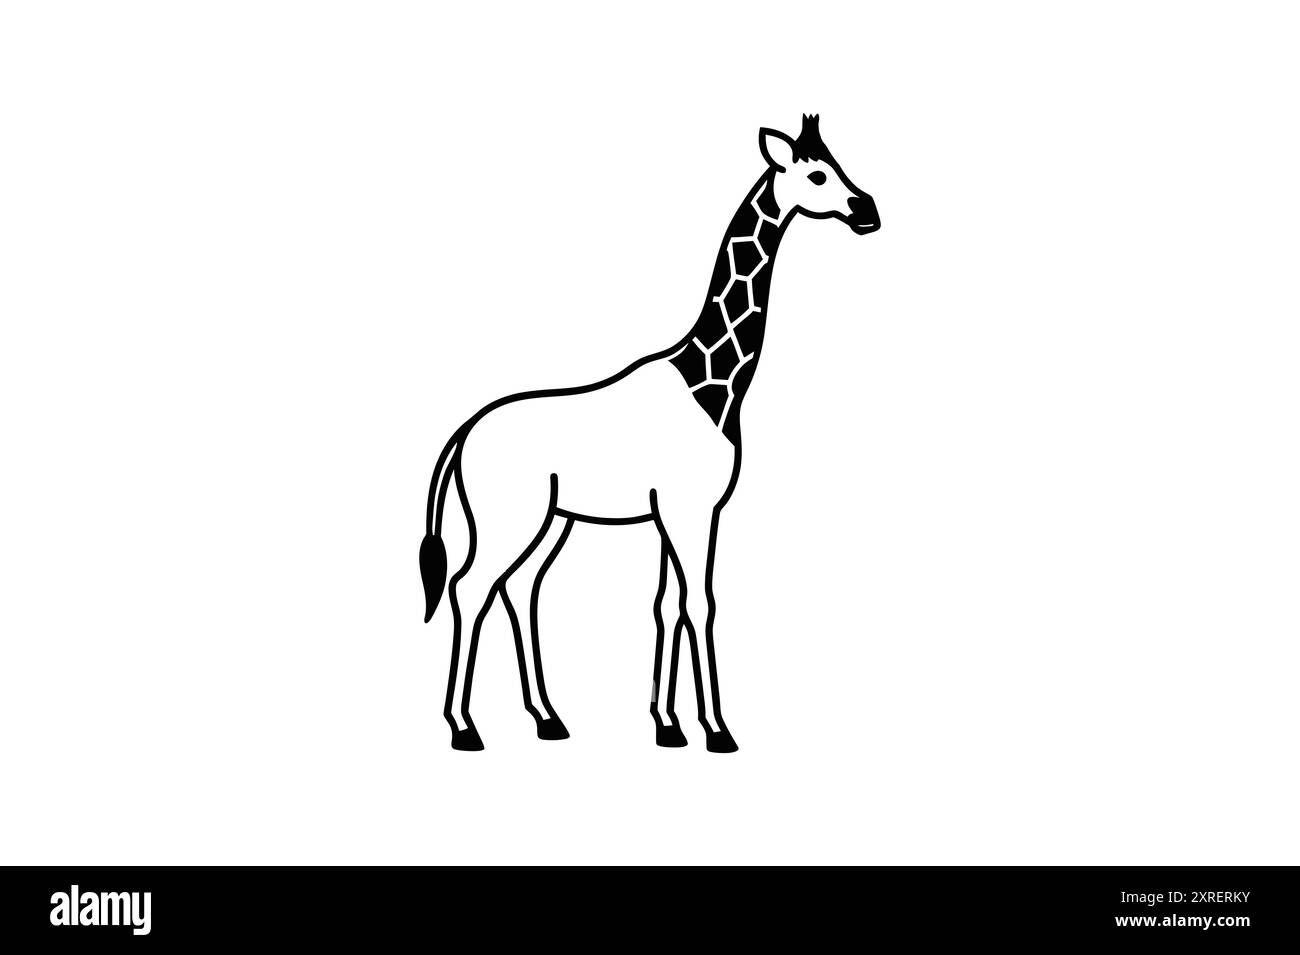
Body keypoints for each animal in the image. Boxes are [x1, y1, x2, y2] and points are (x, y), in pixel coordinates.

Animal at [420, 116, 880, 751]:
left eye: (838, 165)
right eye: (817, 175)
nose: (868, 211)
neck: (713, 387)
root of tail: (464, 432)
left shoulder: (675, 511)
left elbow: (669, 606)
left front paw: (668, 726)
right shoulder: (692, 509)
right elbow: (701, 604)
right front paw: (718, 730)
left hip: (551, 520)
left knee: (521, 588)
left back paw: (549, 719)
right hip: (508, 516)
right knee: (471, 588)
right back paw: (465, 728)